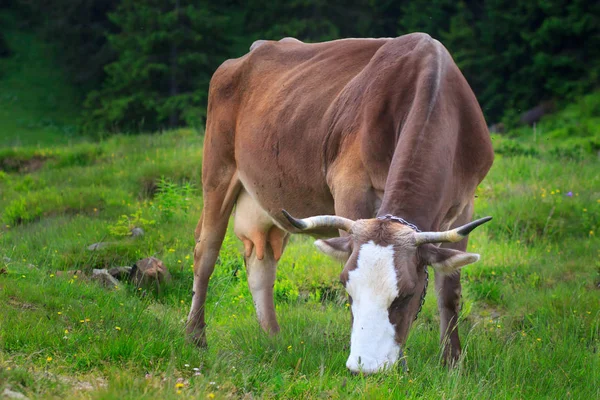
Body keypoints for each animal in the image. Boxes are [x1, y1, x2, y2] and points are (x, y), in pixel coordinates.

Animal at [186, 32, 492, 374]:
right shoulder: (350, 187)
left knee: (261, 262)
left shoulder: (463, 206)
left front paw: (452, 362)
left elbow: (450, 291)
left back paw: (273, 338)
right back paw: (195, 337)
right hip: (217, 171)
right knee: (206, 253)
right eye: (347, 288)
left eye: (407, 294)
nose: (366, 367)